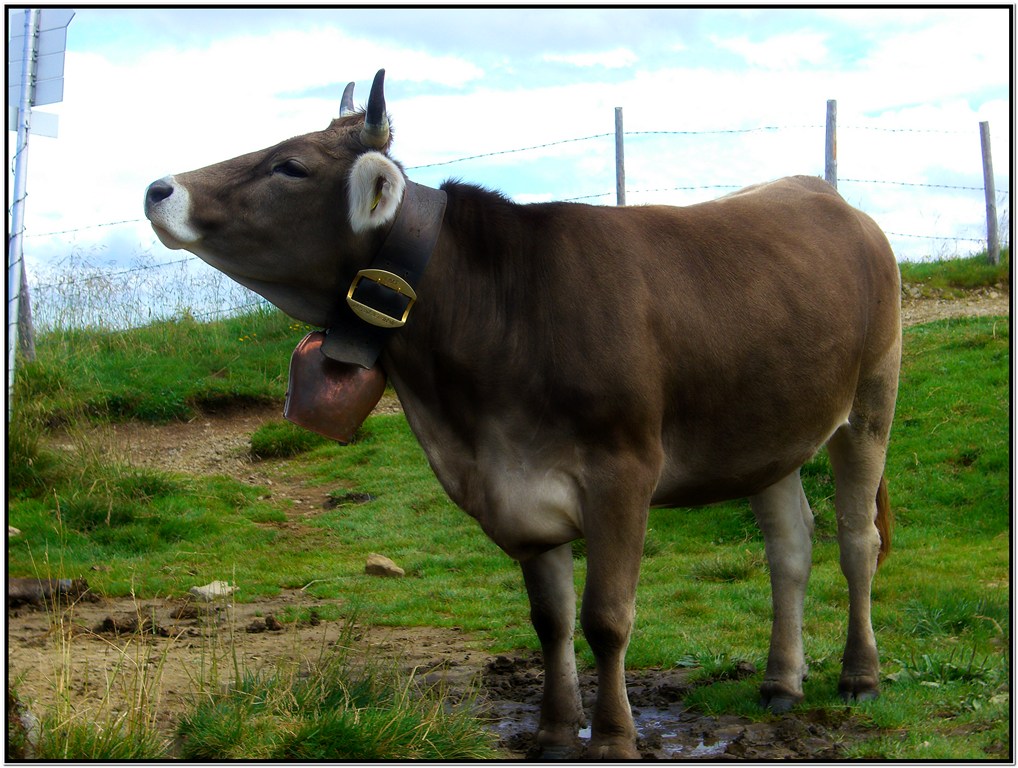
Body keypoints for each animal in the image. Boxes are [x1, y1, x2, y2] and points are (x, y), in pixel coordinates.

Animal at [145, 69, 900, 759]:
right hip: (767, 432)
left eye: (291, 166)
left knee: (856, 539)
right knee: (790, 548)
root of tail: (823, 192)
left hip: (871, 399)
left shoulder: (623, 471)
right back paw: (781, 683)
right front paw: (556, 730)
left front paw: (614, 737)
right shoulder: (519, 485)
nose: (159, 189)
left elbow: (605, 618)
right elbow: (551, 619)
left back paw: (859, 676)